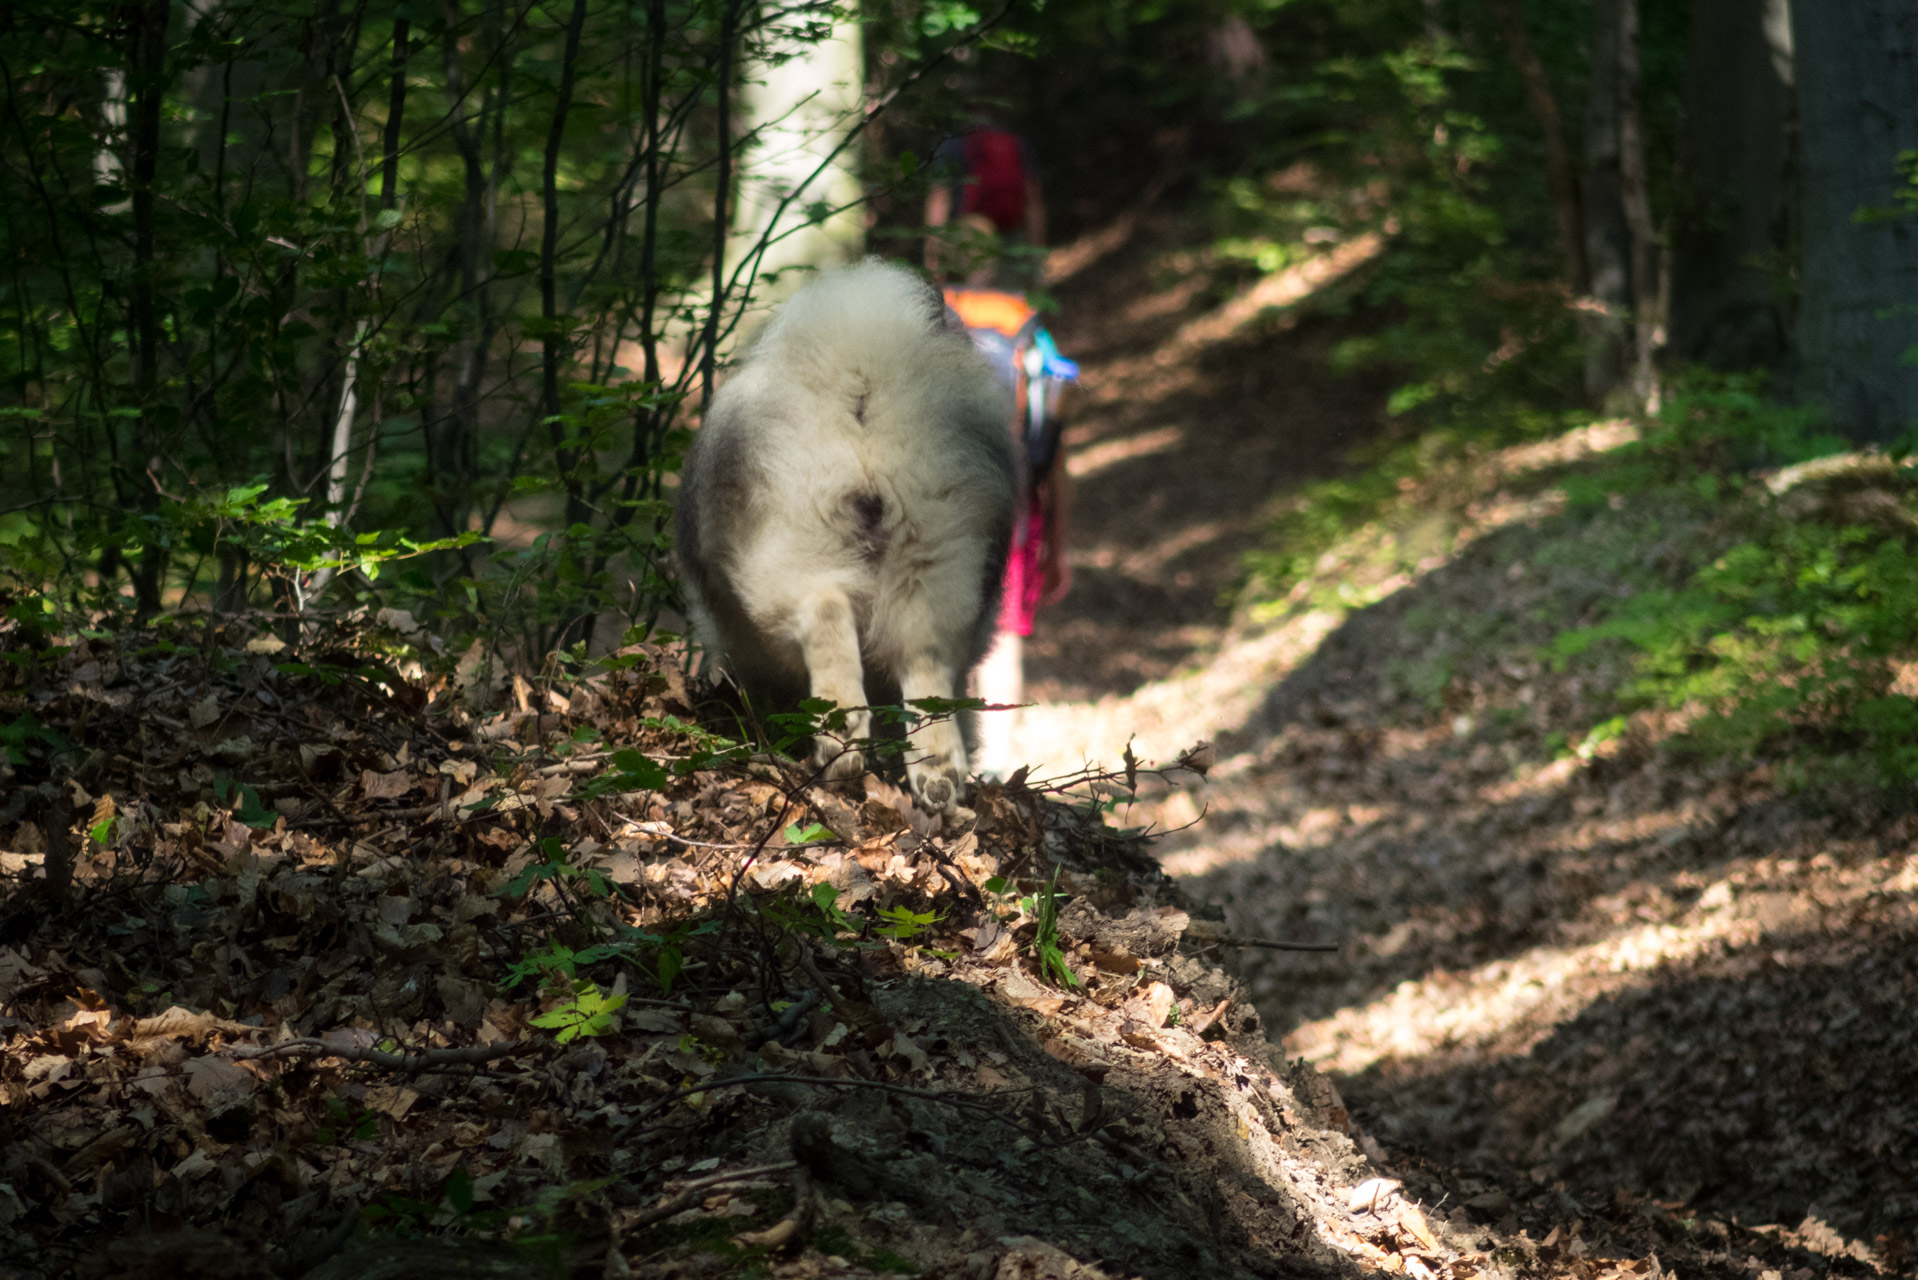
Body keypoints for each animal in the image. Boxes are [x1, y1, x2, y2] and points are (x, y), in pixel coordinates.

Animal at [678, 257, 1020, 809]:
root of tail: (861, 377)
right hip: (934, 552)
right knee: (923, 660)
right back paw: (937, 773)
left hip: (792, 550)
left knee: (826, 619)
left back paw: (840, 744)